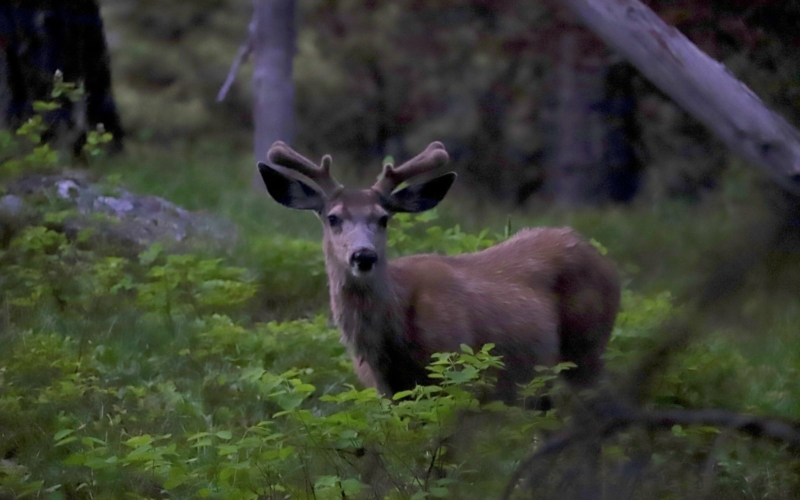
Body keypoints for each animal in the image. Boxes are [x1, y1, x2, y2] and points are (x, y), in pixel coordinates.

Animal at [257, 140, 621, 406]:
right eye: (332, 217)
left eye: (383, 218)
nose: (364, 256)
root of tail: (601, 257)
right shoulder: (388, 392)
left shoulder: (457, 372)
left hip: (587, 350)